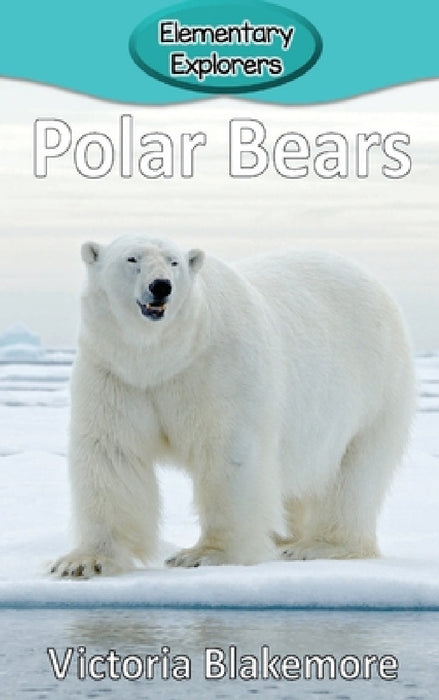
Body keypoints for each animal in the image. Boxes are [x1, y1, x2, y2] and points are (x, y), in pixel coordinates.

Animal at [50, 235, 415, 577]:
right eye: (132, 258)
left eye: (174, 262)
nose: (161, 286)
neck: (164, 357)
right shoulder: (116, 373)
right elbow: (112, 452)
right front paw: (83, 562)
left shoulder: (217, 368)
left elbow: (229, 454)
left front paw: (204, 554)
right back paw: (285, 538)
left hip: (375, 388)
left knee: (353, 473)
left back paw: (318, 545)